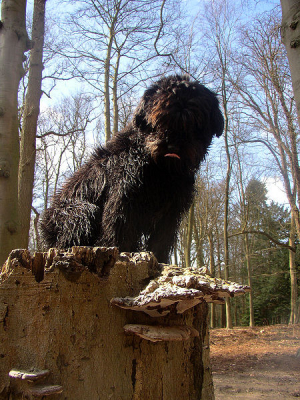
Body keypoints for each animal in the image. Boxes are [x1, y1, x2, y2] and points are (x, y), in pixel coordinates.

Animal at [39, 74, 223, 262]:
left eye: (195, 120)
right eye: (160, 118)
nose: (173, 145)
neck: (161, 171)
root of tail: (45, 224)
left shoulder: (170, 213)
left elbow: (161, 242)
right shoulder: (123, 201)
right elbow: (120, 236)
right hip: (82, 211)